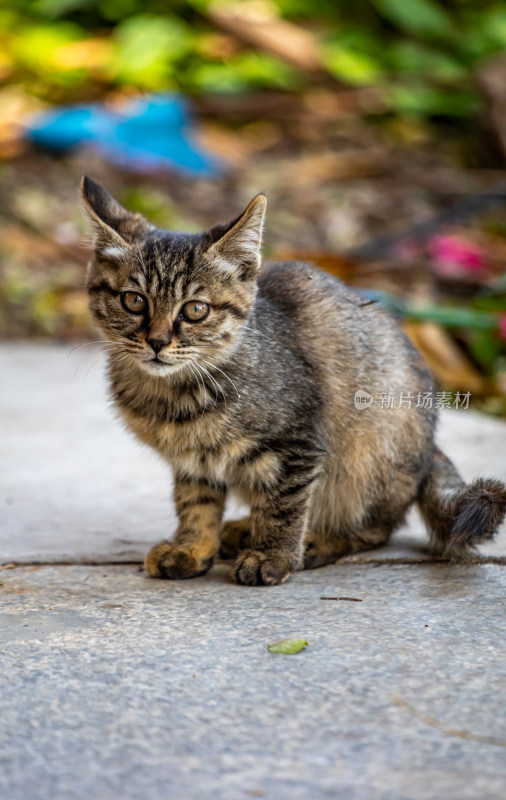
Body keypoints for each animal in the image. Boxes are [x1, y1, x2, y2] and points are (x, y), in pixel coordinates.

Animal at [81, 178, 504, 584]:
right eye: (134, 300)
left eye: (196, 310)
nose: (156, 342)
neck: (173, 393)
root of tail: (430, 445)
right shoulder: (193, 459)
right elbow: (196, 502)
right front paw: (192, 547)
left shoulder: (298, 442)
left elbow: (284, 504)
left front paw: (273, 556)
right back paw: (243, 529)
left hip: (367, 457)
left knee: (376, 528)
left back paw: (314, 541)